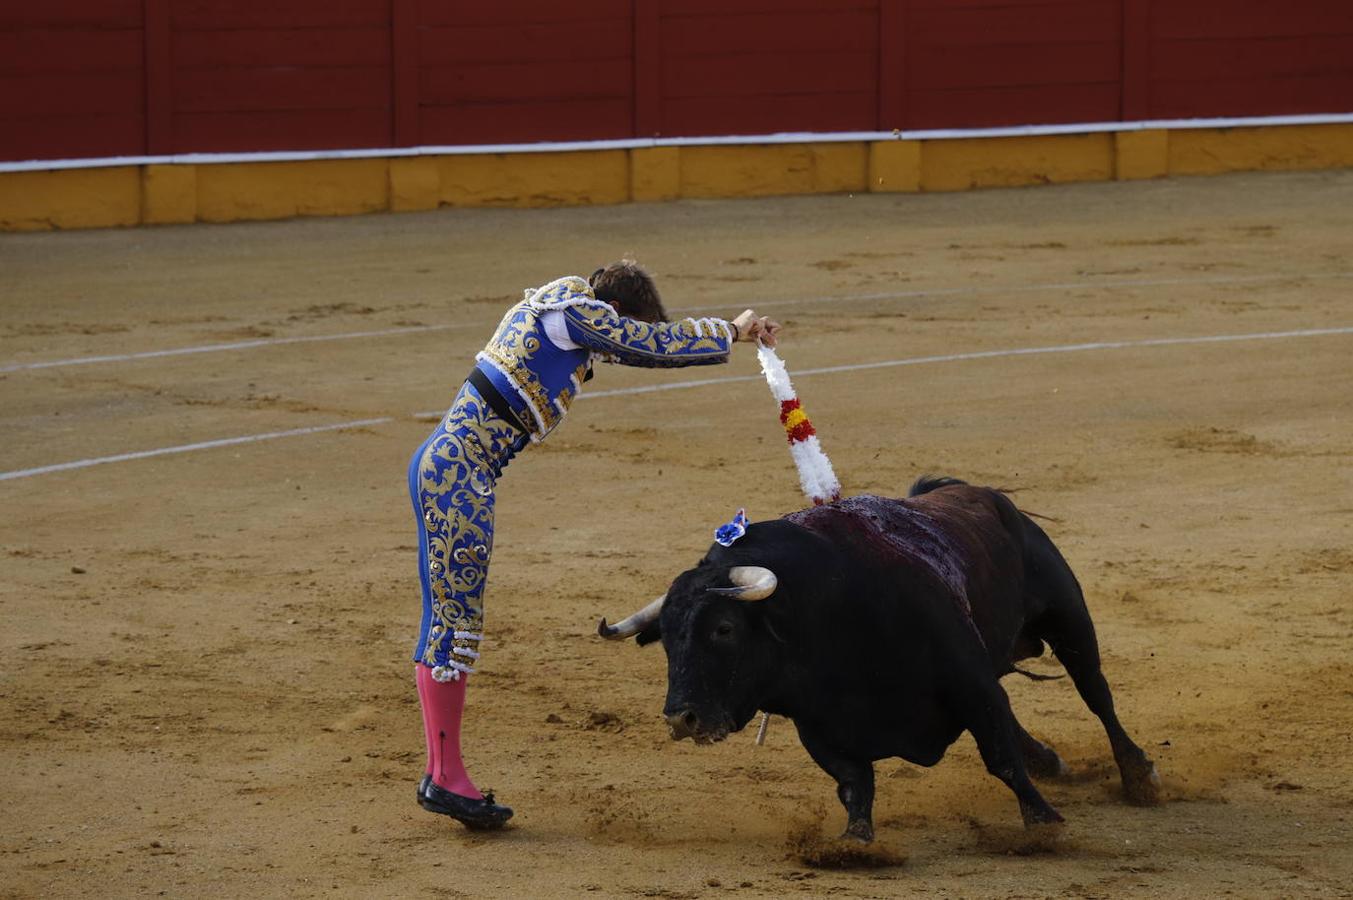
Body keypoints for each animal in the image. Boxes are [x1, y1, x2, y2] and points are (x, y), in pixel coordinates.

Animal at [598, 481, 1158, 839]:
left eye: (724, 628)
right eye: (666, 640)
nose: (682, 719)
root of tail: (981, 494)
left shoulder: (969, 682)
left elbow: (999, 757)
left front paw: (1044, 825)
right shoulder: (819, 725)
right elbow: (854, 784)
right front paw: (853, 844)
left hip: (1068, 620)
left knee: (1096, 695)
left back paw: (1138, 777)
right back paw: (1051, 761)